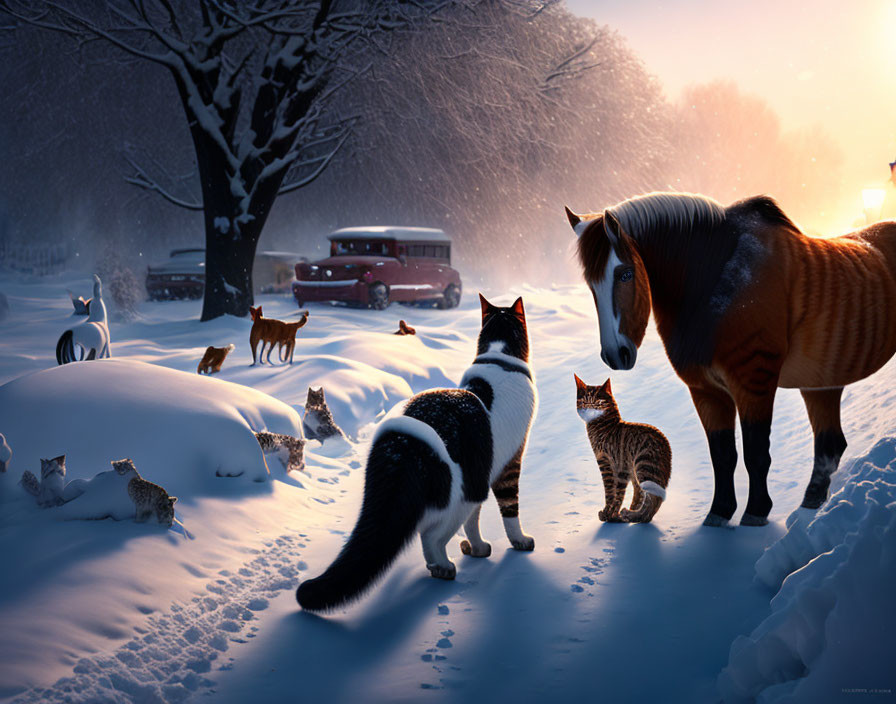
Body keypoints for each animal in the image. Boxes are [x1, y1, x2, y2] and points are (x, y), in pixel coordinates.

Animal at [298, 292, 540, 612]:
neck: (498, 359)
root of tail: (402, 442)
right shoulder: (508, 464)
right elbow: (509, 509)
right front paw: (519, 541)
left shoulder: (484, 472)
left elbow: (474, 521)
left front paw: (477, 547)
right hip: (457, 495)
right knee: (430, 535)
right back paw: (442, 566)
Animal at [576, 374, 668, 524]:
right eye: (583, 402)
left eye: (598, 402)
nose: (589, 408)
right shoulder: (623, 469)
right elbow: (618, 493)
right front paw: (613, 515)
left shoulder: (608, 463)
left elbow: (612, 492)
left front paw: (609, 514)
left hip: (644, 467)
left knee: (652, 501)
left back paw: (633, 515)